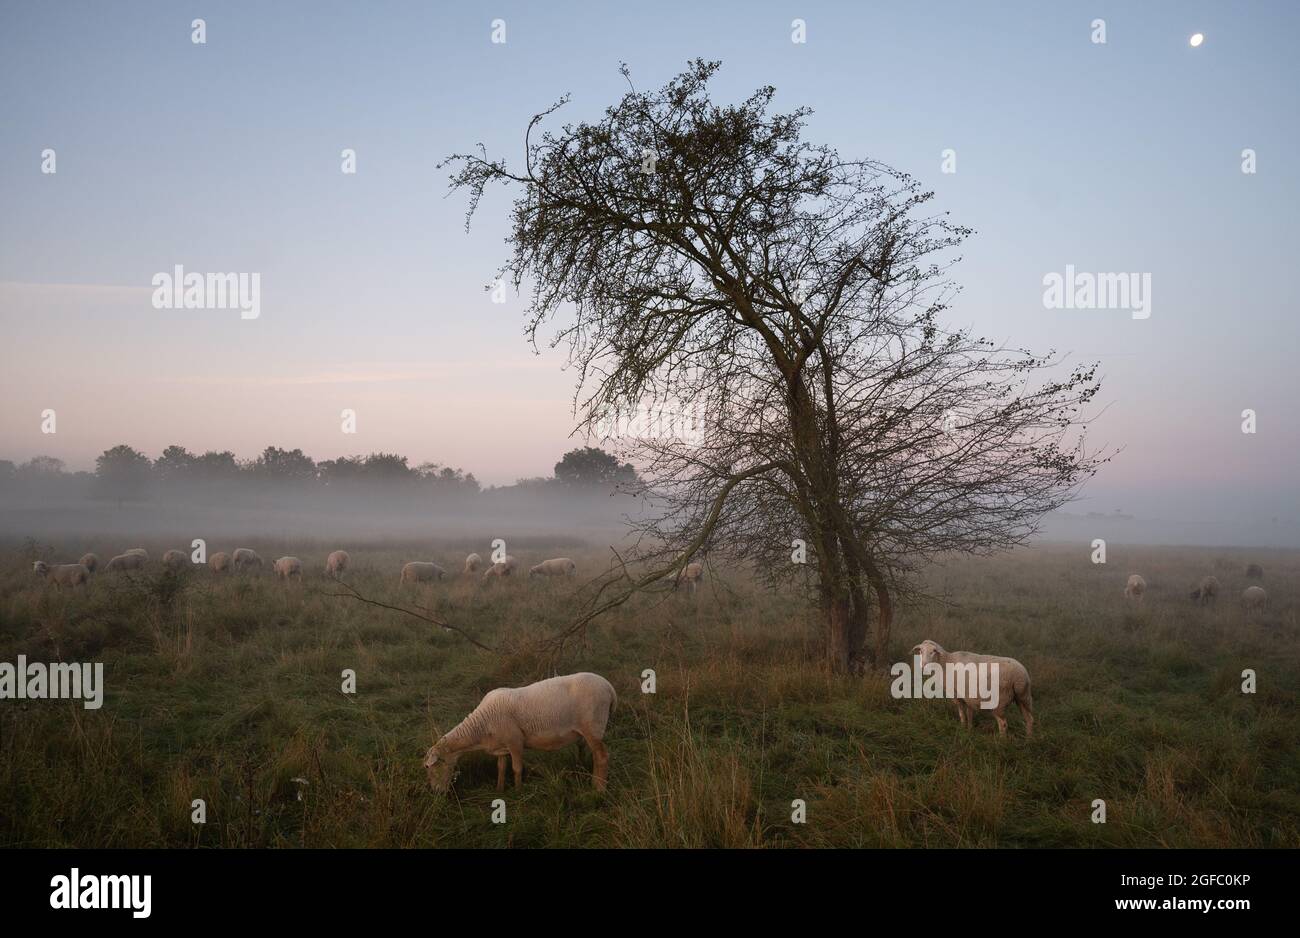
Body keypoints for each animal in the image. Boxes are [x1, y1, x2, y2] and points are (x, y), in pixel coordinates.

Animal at [421, 670, 613, 795]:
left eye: (430, 767)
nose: (436, 793)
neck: (481, 727)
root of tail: (609, 686)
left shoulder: (515, 741)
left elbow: (516, 768)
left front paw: (519, 791)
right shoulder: (501, 746)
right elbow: (501, 767)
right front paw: (499, 790)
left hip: (593, 726)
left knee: (602, 756)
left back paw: (599, 788)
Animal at [904, 639, 1034, 732]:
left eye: (933, 652)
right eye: (920, 651)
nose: (923, 666)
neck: (945, 662)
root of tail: (1020, 676)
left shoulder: (957, 695)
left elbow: (962, 713)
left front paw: (962, 728)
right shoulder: (968, 695)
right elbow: (969, 713)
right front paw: (970, 729)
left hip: (999, 701)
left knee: (1003, 724)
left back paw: (1001, 743)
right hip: (1023, 697)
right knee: (1029, 719)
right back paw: (1029, 739)